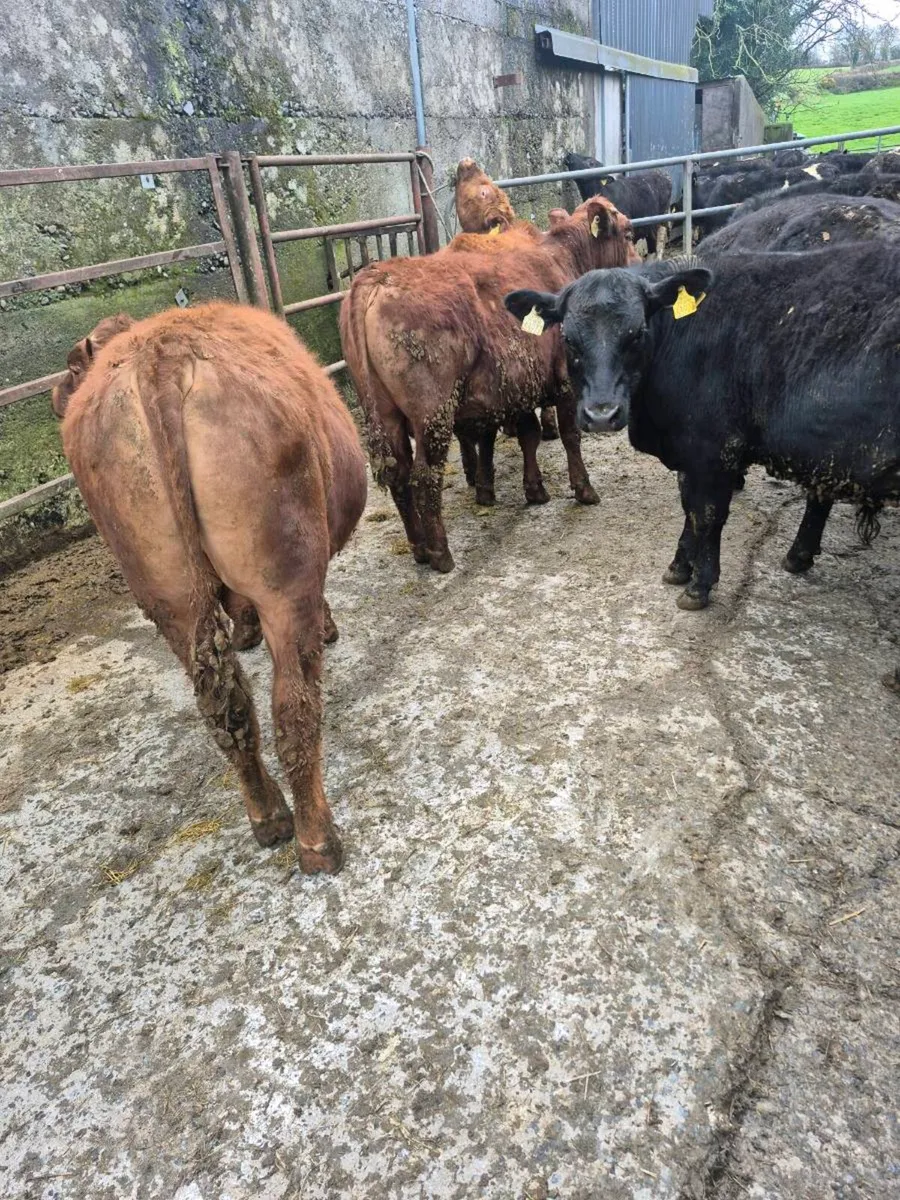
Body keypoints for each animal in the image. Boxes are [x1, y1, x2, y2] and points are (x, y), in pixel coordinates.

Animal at [52, 303, 368, 874]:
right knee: (293, 708)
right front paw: (326, 628)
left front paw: (243, 632)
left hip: (168, 596)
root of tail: (160, 358)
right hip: (286, 581)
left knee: (227, 708)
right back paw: (317, 841)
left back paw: (268, 816)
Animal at [340, 196, 638, 573]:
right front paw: (583, 489)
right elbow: (570, 436)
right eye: (629, 233)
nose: (640, 268)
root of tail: (377, 276)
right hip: (432, 414)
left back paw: (420, 548)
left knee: (399, 476)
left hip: (386, 414)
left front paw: (534, 489)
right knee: (425, 477)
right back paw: (441, 553)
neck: (563, 258)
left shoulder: (519, 382)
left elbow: (528, 435)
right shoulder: (565, 378)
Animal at [504, 247, 900, 667]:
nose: (601, 414)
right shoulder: (690, 454)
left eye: (637, 333)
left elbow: (707, 515)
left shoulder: (714, 451)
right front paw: (680, 566)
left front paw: (700, 585)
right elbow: (689, 508)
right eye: (568, 338)